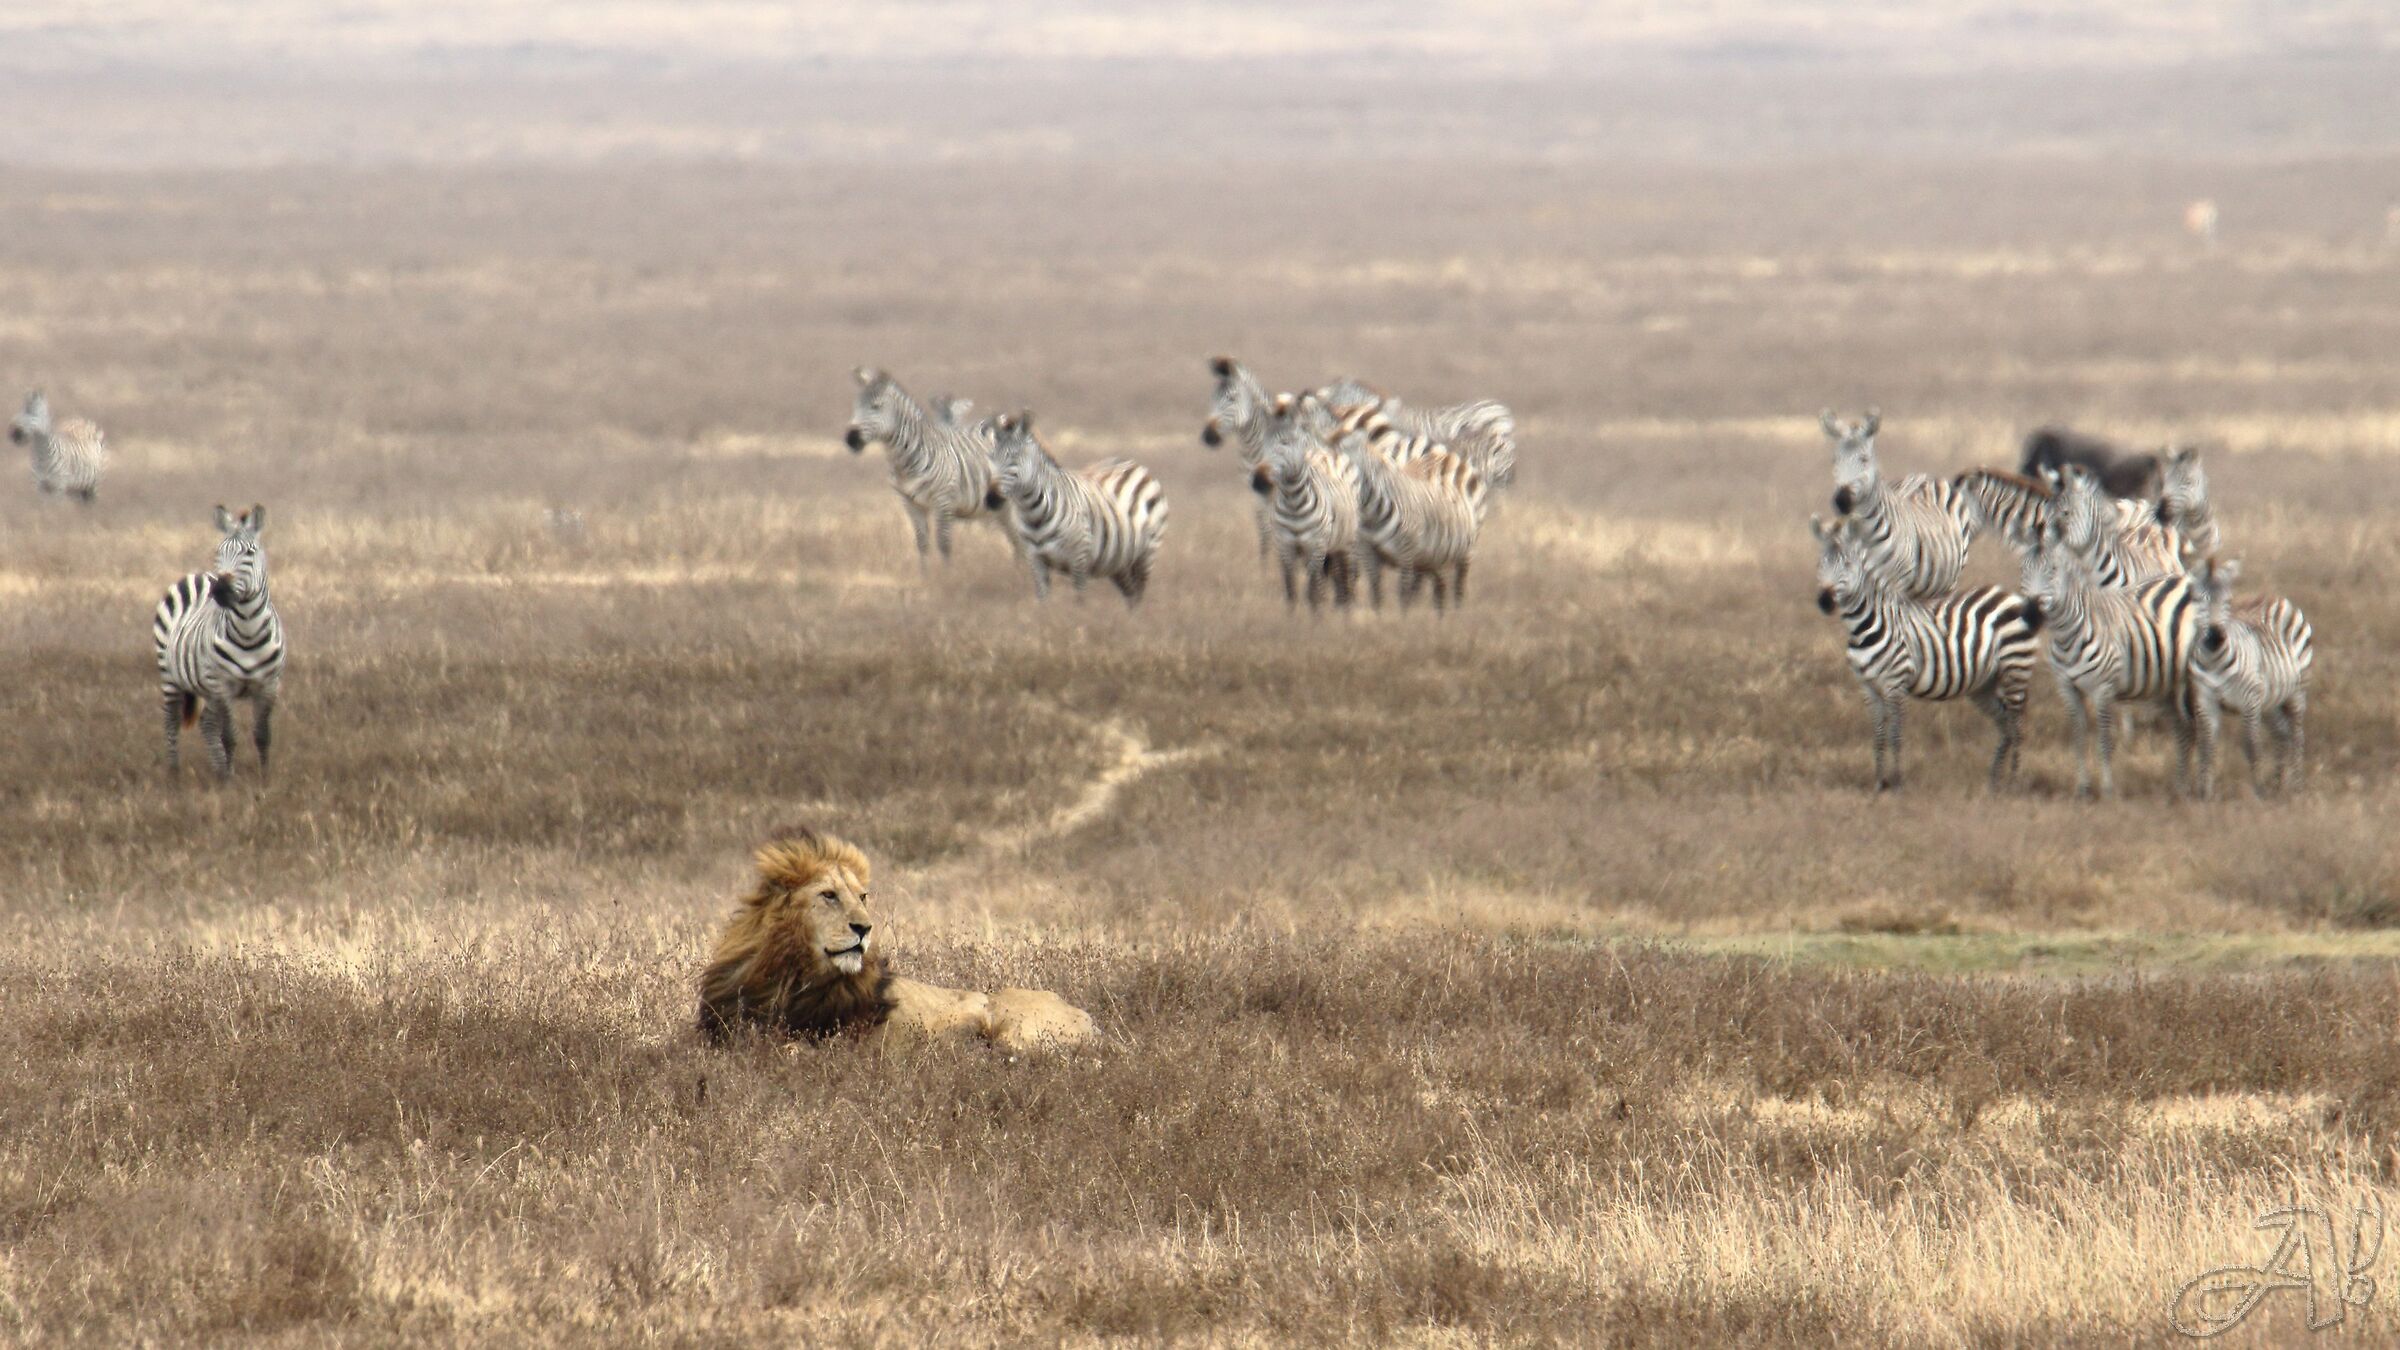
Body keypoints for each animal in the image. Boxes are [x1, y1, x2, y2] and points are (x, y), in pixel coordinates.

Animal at [696, 827, 1098, 1054]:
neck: (790, 974)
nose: (864, 928)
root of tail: (1089, 1018)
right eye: (829, 895)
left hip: (1013, 1022)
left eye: (862, 897)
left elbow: (791, 1050)